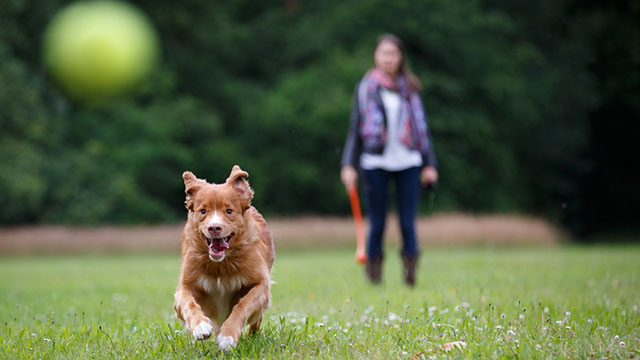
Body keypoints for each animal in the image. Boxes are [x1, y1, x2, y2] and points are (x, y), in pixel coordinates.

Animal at [174, 166, 274, 352]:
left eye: (229, 211)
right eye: (203, 211)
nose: (214, 227)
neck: (221, 264)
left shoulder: (261, 284)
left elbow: (242, 305)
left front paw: (228, 337)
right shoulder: (185, 285)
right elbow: (188, 303)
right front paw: (201, 326)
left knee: (257, 319)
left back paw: (252, 337)